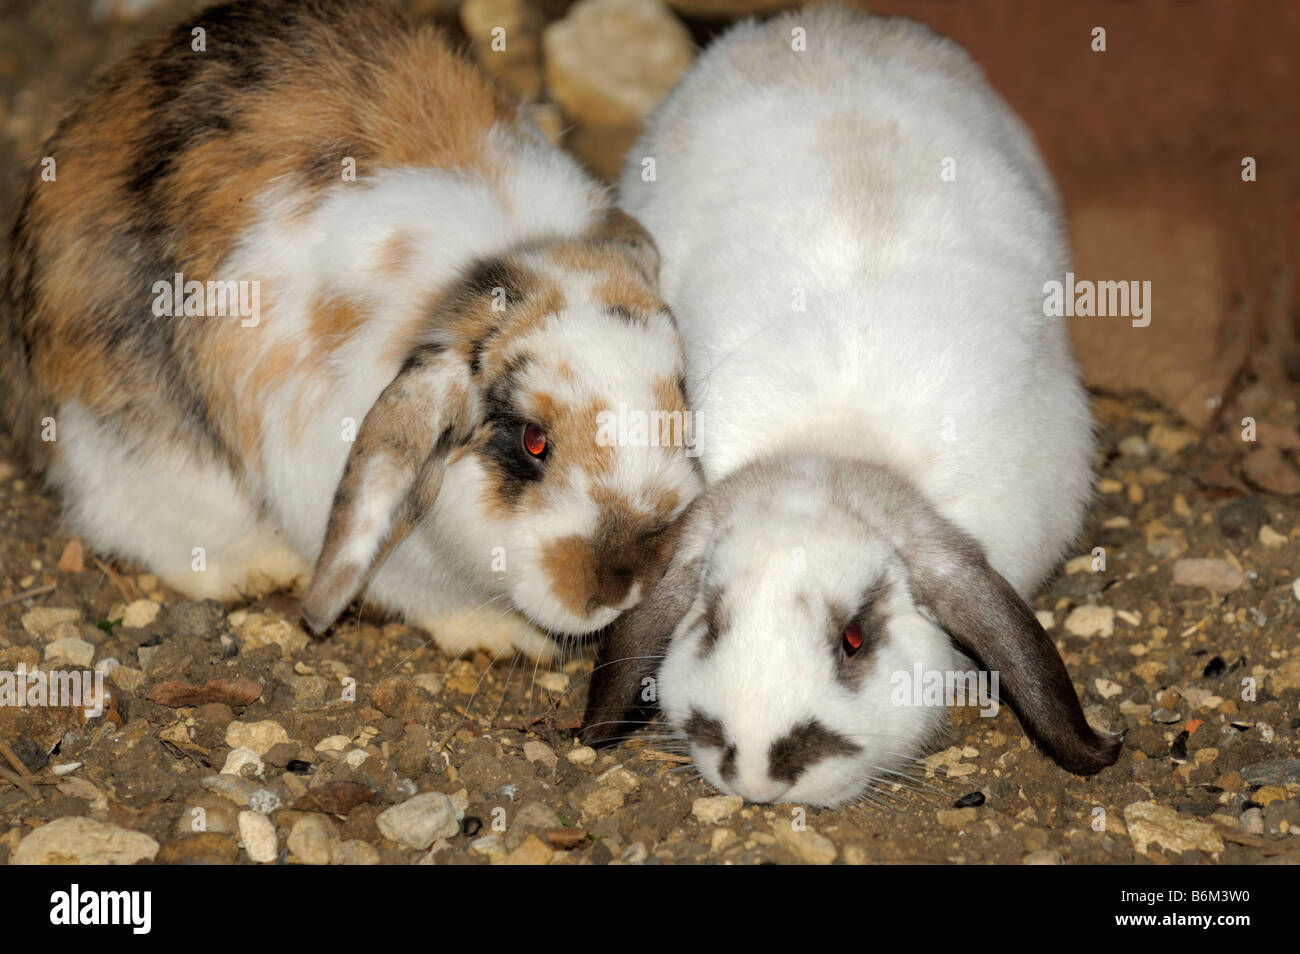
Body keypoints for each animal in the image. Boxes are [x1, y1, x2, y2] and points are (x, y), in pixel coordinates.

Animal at [2, 0, 702, 660]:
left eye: (681, 400)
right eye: (534, 442)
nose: (627, 578)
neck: (480, 273)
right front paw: (505, 637)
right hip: (132, 452)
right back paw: (256, 570)